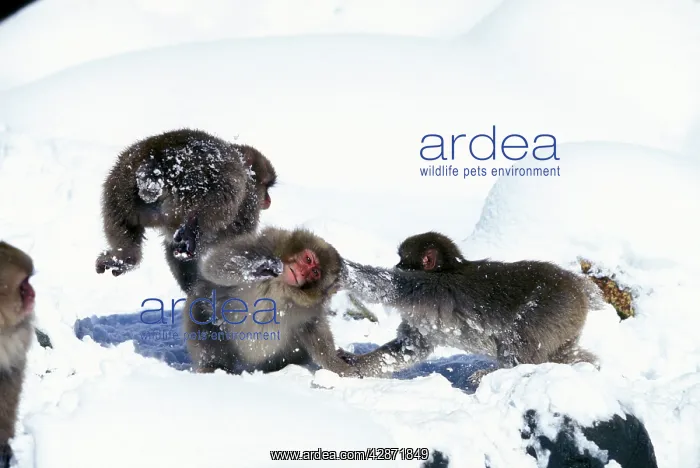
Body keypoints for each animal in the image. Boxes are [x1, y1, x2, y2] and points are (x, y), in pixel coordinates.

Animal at [95, 128, 277, 291]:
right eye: (266, 187)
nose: (268, 200)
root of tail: (156, 163)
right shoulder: (249, 207)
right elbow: (228, 250)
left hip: (120, 183)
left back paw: (123, 258)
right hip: (200, 185)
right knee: (224, 199)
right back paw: (193, 225)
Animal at [183, 227, 360, 377]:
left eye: (315, 272)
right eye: (308, 259)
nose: (302, 272)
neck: (282, 285)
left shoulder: (310, 307)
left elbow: (313, 328)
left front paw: (338, 365)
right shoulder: (266, 244)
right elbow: (215, 265)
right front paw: (257, 268)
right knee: (203, 319)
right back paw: (212, 366)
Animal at [336, 231, 603, 382]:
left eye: (403, 261)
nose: (396, 265)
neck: (446, 269)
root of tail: (578, 288)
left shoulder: (427, 288)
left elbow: (386, 286)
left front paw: (342, 268)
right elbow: (409, 349)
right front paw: (355, 363)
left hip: (550, 311)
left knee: (519, 340)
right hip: (565, 325)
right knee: (562, 354)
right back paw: (588, 365)